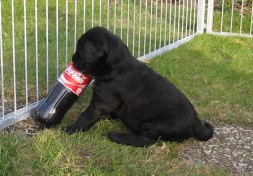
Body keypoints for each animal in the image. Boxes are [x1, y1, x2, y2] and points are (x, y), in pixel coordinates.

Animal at [65, 26, 213, 147]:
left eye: (80, 50)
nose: (72, 58)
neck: (115, 66)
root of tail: (197, 123)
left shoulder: (102, 101)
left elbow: (86, 116)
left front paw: (71, 129)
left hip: (155, 125)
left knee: (146, 140)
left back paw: (116, 136)